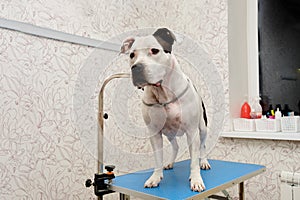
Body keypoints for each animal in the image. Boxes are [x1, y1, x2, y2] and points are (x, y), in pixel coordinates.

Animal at [120, 27, 210, 191]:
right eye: (131, 55)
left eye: (154, 50)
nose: (136, 67)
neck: (163, 94)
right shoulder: (155, 133)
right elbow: (157, 158)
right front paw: (155, 177)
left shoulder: (191, 131)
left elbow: (194, 160)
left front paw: (196, 179)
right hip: (169, 133)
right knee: (175, 146)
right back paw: (170, 162)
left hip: (202, 128)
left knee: (203, 145)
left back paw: (204, 162)